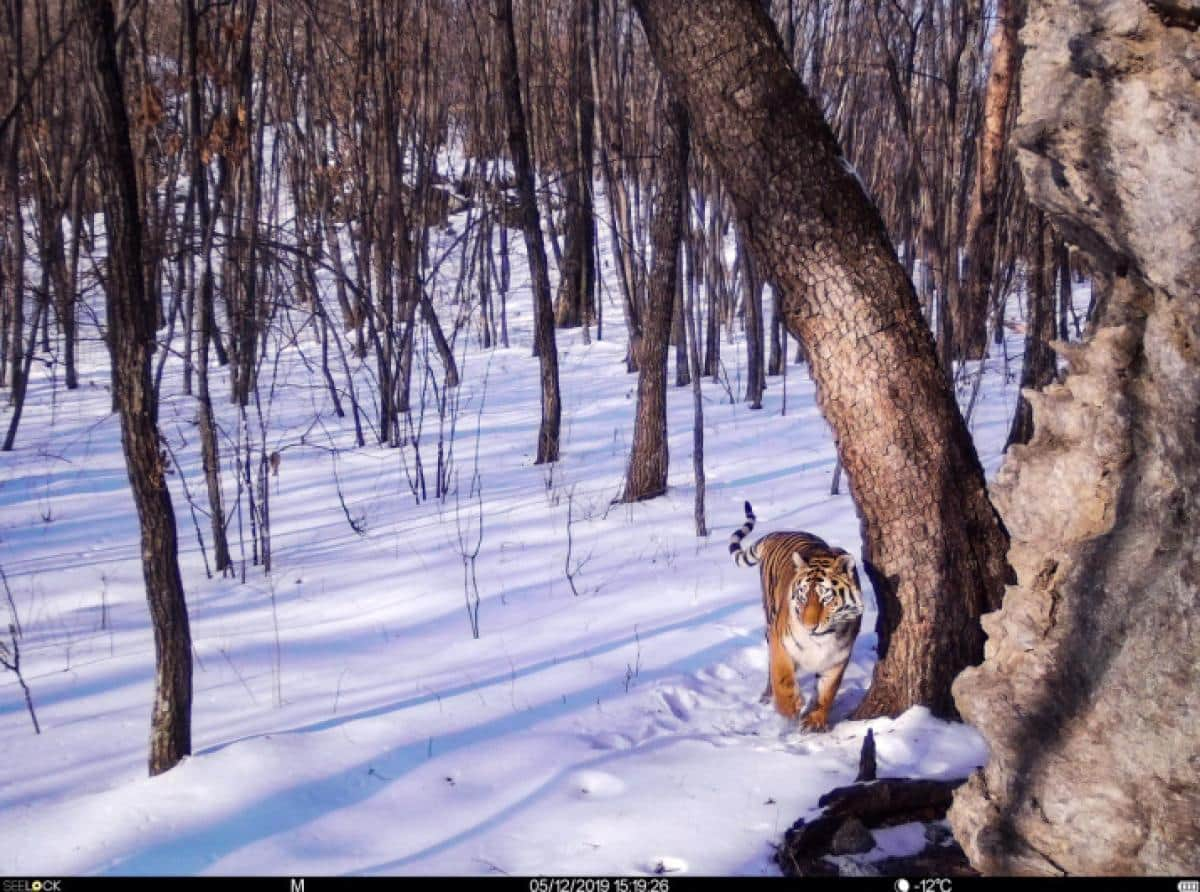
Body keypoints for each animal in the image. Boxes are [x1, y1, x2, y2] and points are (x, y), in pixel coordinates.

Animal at [729, 501, 864, 734]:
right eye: (802, 596)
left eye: (826, 598)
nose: (810, 627)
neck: (822, 640)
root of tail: (779, 532)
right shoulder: (780, 640)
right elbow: (782, 676)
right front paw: (790, 708)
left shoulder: (838, 657)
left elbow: (827, 691)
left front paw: (815, 721)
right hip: (769, 618)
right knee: (770, 670)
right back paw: (767, 696)